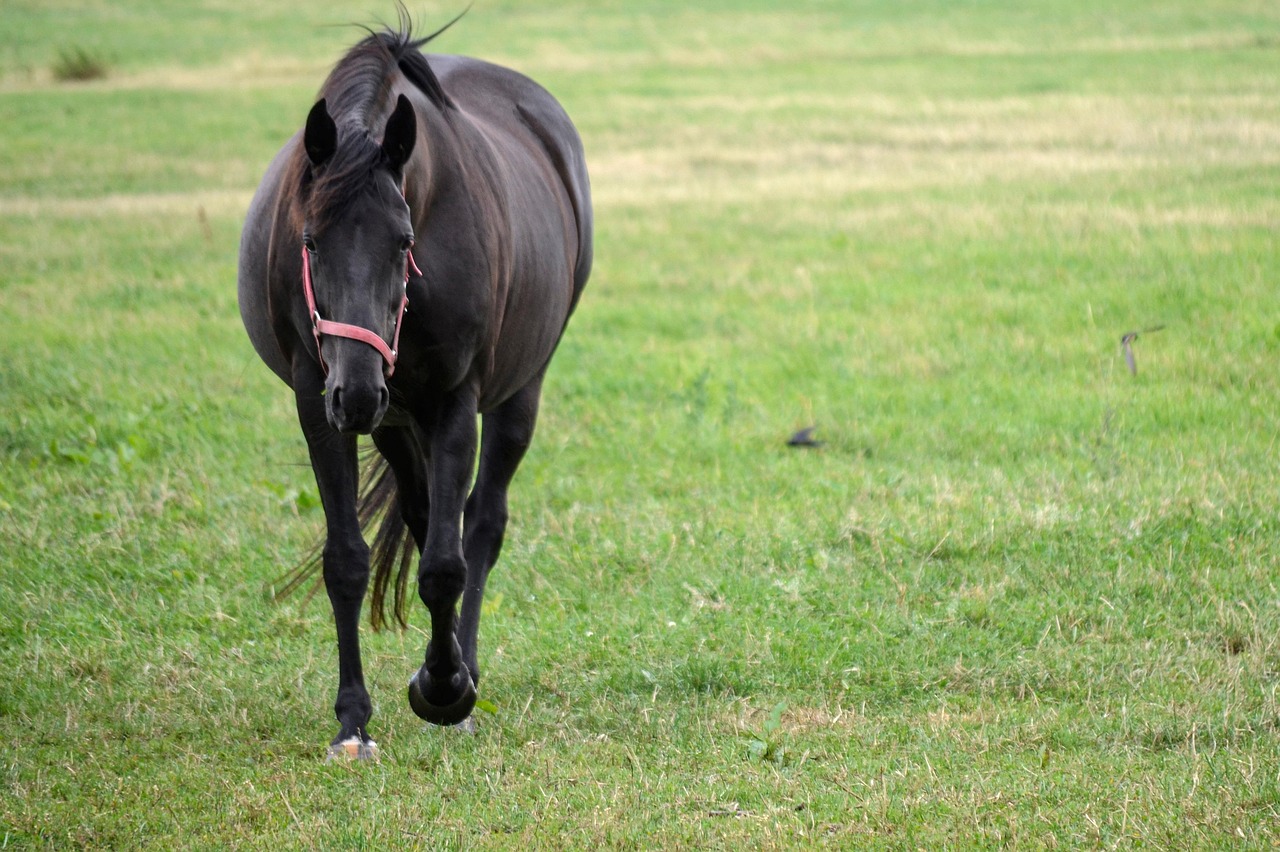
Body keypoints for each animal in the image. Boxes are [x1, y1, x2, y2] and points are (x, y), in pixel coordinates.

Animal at [236, 17, 592, 758]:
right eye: (309, 241)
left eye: (403, 241)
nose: (359, 391)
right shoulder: (318, 401)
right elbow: (348, 559)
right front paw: (352, 721)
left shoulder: (456, 401)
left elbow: (446, 566)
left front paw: (445, 690)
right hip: (396, 424)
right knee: (427, 513)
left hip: (515, 392)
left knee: (480, 524)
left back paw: (465, 667)